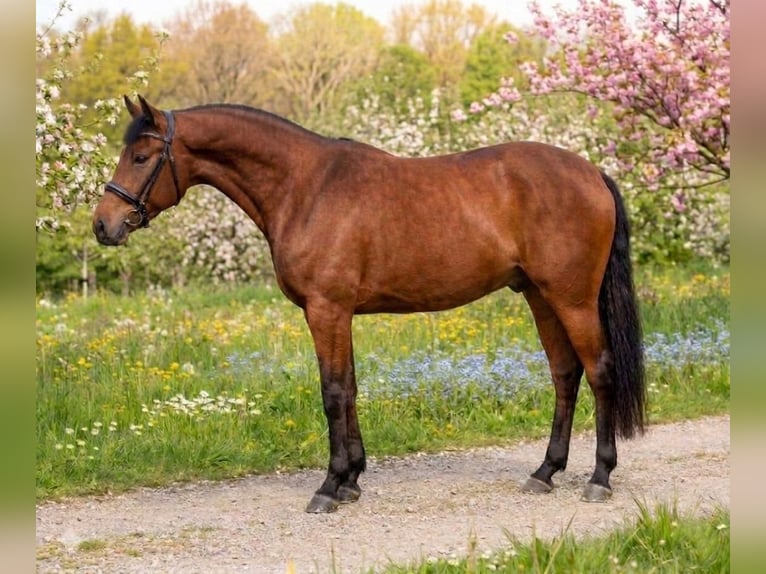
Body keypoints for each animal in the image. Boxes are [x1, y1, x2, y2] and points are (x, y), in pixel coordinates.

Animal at [93, 95, 645, 513]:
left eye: (140, 157)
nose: (103, 224)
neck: (305, 187)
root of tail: (591, 172)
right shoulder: (339, 314)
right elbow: (352, 388)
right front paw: (353, 480)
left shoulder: (326, 310)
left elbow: (333, 392)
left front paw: (329, 486)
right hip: (540, 296)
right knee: (565, 374)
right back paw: (545, 471)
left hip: (572, 299)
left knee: (599, 371)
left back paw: (599, 477)